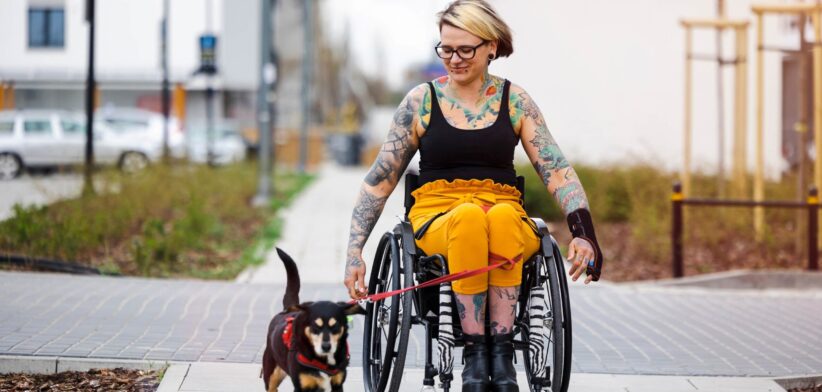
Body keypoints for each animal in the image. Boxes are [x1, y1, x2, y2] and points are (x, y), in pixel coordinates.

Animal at [264, 248, 366, 392]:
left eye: (335, 326)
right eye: (315, 326)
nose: (326, 346)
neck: (324, 360)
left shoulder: (338, 384)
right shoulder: (302, 386)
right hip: (271, 376)